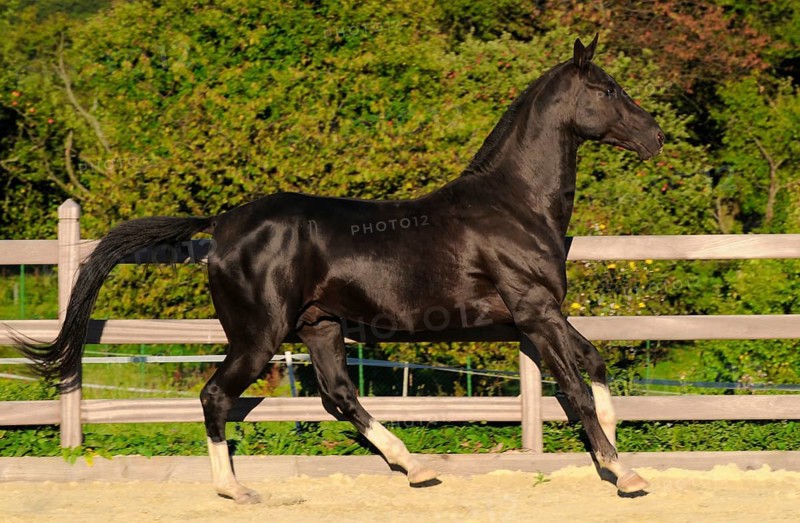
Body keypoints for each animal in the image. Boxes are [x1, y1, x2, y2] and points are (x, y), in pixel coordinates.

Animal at [18, 35, 665, 503]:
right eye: (607, 89)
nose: (656, 136)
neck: (514, 206)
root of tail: (223, 224)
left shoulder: (535, 317)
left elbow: (594, 365)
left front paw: (616, 455)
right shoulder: (535, 312)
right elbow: (575, 386)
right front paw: (624, 473)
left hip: (320, 326)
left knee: (338, 395)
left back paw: (414, 466)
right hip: (258, 337)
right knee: (215, 395)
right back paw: (235, 490)